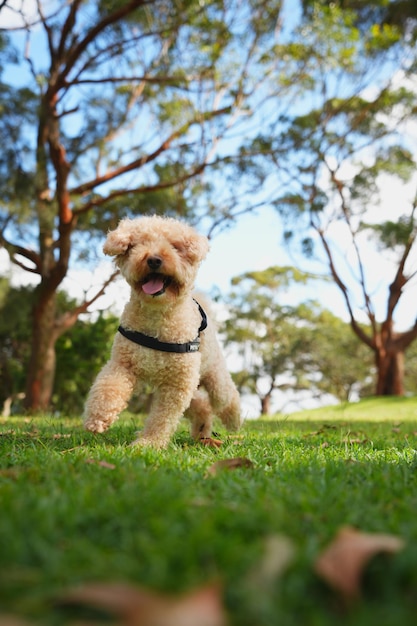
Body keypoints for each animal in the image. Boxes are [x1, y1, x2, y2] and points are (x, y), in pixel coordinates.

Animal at [83, 216, 240, 448]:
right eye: (136, 245)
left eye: (175, 246)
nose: (154, 260)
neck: (157, 316)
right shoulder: (122, 363)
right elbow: (109, 387)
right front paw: (97, 417)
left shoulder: (177, 384)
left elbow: (162, 418)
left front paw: (148, 443)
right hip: (192, 387)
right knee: (202, 406)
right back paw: (202, 431)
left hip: (213, 375)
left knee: (226, 396)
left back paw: (235, 421)